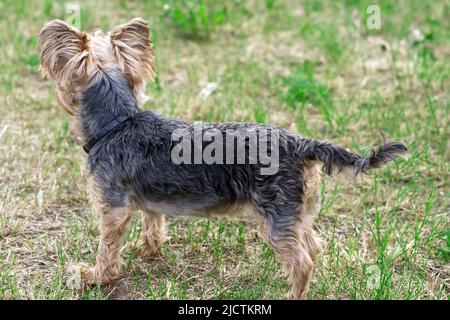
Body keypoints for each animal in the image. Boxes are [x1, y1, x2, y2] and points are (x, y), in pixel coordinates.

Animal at [38, 16, 408, 298]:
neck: (118, 122)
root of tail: (301, 143)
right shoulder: (148, 199)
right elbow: (153, 223)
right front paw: (148, 252)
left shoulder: (112, 205)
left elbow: (107, 245)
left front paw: (94, 276)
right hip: (297, 209)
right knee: (313, 246)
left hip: (275, 215)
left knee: (303, 261)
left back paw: (294, 292)